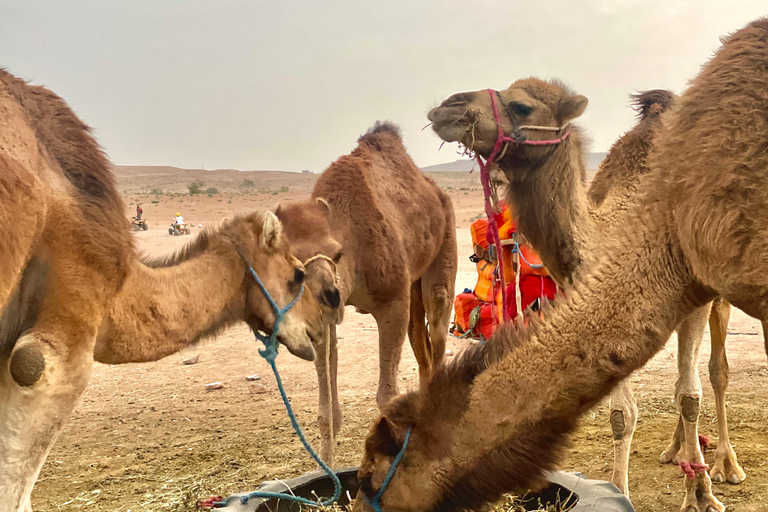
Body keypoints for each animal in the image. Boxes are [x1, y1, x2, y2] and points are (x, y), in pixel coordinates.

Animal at [274, 122, 456, 466]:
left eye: (337, 252)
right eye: (292, 263)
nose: (330, 296)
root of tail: (437, 192)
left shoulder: (392, 301)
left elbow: (386, 397)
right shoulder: (322, 322)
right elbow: (327, 410)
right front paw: (326, 469)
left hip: (443, 249)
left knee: (438, 329)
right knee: (420, 341)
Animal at [352, 18, 768, 512]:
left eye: (521, 104)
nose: (447, 106)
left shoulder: (691, 292)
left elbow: (689, 395)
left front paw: (700, 496)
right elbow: (622, 412)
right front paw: (624, 487)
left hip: (719, 298)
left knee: (716, 373)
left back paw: (724, 465)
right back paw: (675, 451)